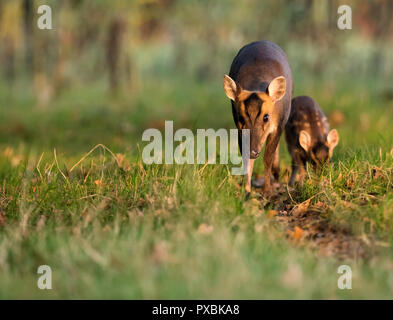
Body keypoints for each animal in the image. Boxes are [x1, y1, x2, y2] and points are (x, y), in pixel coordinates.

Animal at [222, 40, 292, 195]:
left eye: (266, 117)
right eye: (241, 117)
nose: (253, 151)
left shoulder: (279, 125)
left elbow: (267, 158)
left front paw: (267, 191)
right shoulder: (239, 129)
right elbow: (245, 158)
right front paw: (246, 190)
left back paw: (276, 180)